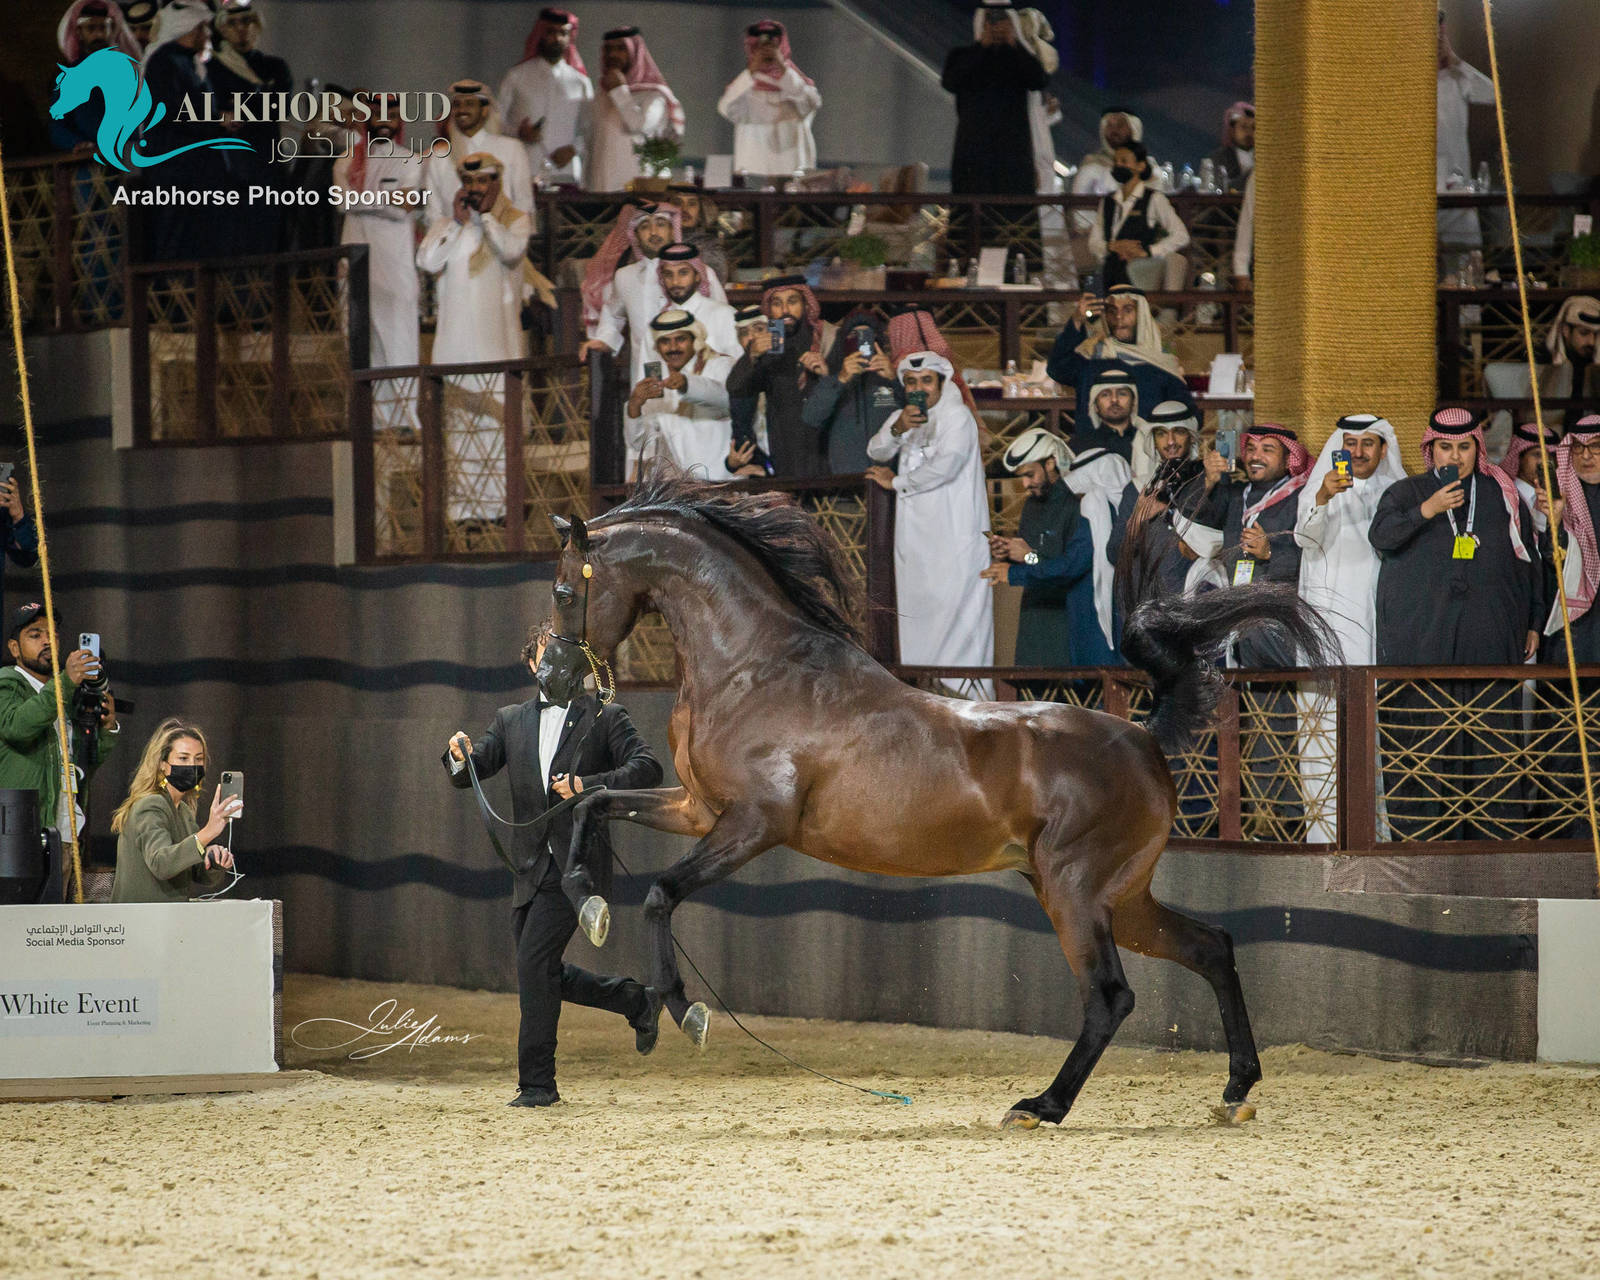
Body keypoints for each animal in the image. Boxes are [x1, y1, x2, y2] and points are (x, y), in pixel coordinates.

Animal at [537, 469, 1333, 1127]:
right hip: (1120, 897)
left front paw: (682, 1012)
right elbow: (587, 806)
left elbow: (661, 894)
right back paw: (1234, 1090)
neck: (754, 668)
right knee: (1211, 947)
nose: (550, 676)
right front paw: (589, 904)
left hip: (1076, 892)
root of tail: (1143, 739)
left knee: (1111, 996)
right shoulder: (698, 809)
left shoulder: (754, 824)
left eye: (565, 591)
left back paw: (1041, 1107)